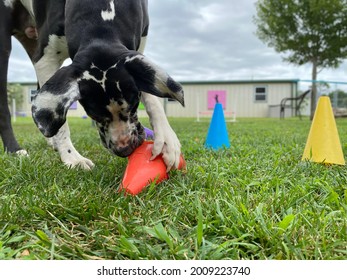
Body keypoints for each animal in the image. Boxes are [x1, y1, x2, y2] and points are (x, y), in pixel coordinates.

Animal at [0, 0, 185, 171]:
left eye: (133, 105)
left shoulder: (139, 46)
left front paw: (167, 140)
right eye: (93, 114)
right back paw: (15, 149)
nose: (124, 149)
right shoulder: (45, 58)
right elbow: (61, 124)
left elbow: (151, 97)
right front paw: (72, 157)